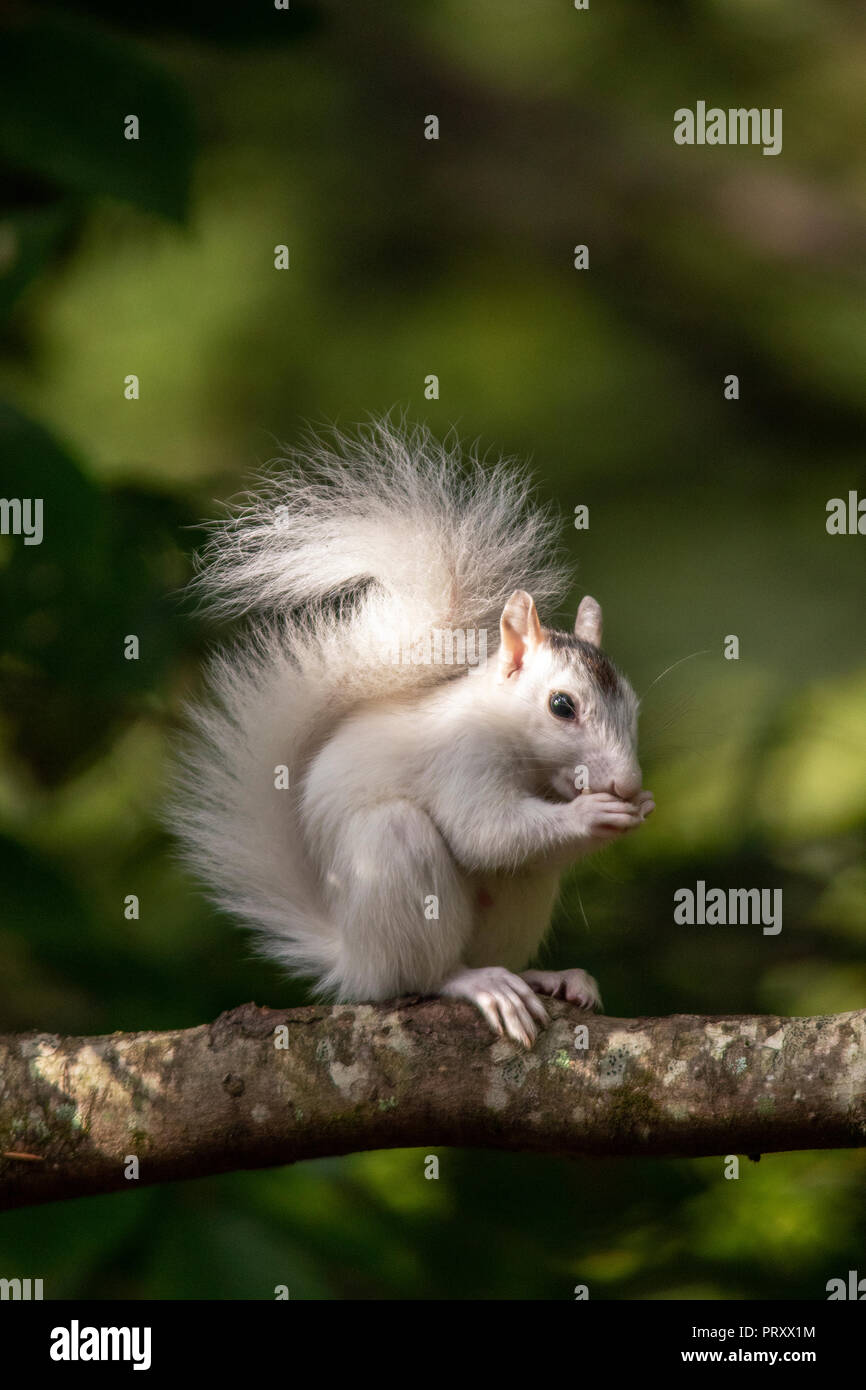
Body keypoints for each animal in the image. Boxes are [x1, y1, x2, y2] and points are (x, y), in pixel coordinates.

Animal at [170, 417, 654, 1048]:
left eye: (635, 709)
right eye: (561, 706)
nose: (626, 783)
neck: (518, 746)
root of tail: (355, 959)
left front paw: (636, 806)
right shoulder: (462, 759)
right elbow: (485, 834)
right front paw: (594, 813)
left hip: (522, 897)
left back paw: (546, 976)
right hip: (394, 863)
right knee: (423, 973)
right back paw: (476, 982)